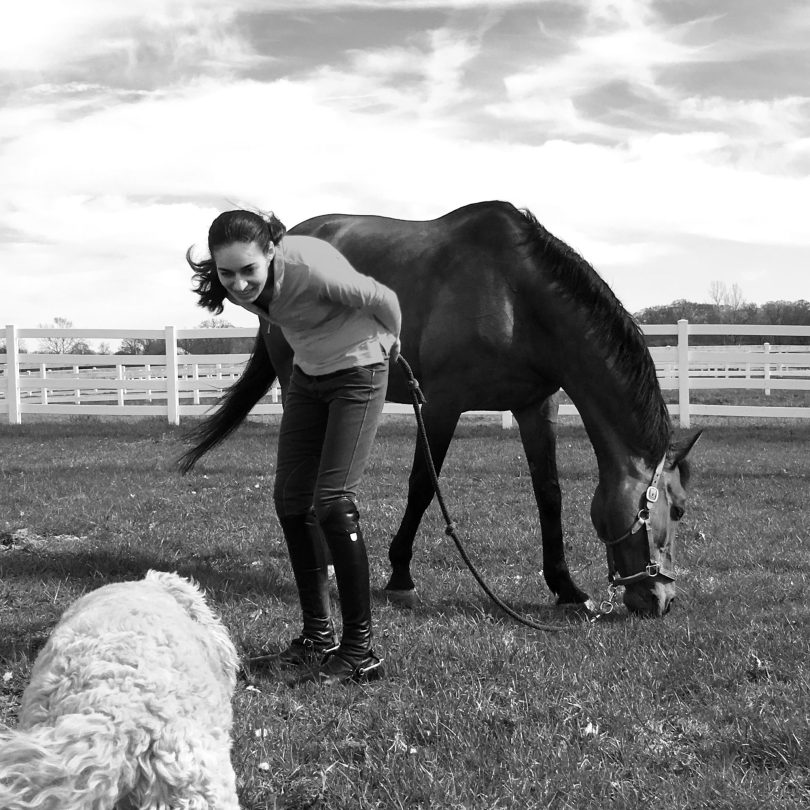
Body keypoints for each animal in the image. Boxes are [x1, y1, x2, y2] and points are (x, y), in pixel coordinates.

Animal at [179, 201, 701, 617]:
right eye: (676, 511)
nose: (663, 600)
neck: (515, 295)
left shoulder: (535, 406)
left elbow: (548, 494)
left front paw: (565, 587)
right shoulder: (440, 406)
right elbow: (422, 487)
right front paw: (400, 578)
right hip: (300, 388)